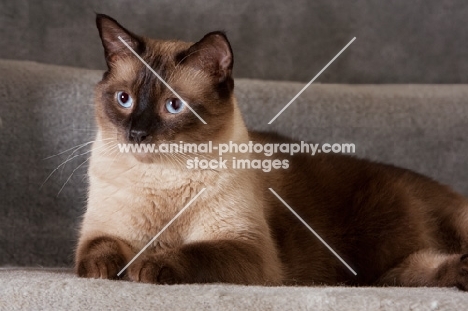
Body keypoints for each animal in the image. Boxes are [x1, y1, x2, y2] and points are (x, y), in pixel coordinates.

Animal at [75, 13, 468, 292]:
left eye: (173, 106)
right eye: (123, 99)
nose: (136, 134)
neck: (162, 177)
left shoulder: (245, 249)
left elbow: (194, 252)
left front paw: (146, 266)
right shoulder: (102, 232)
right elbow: (96, 253)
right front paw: (109, 271)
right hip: (390, 273)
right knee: (421, 270)